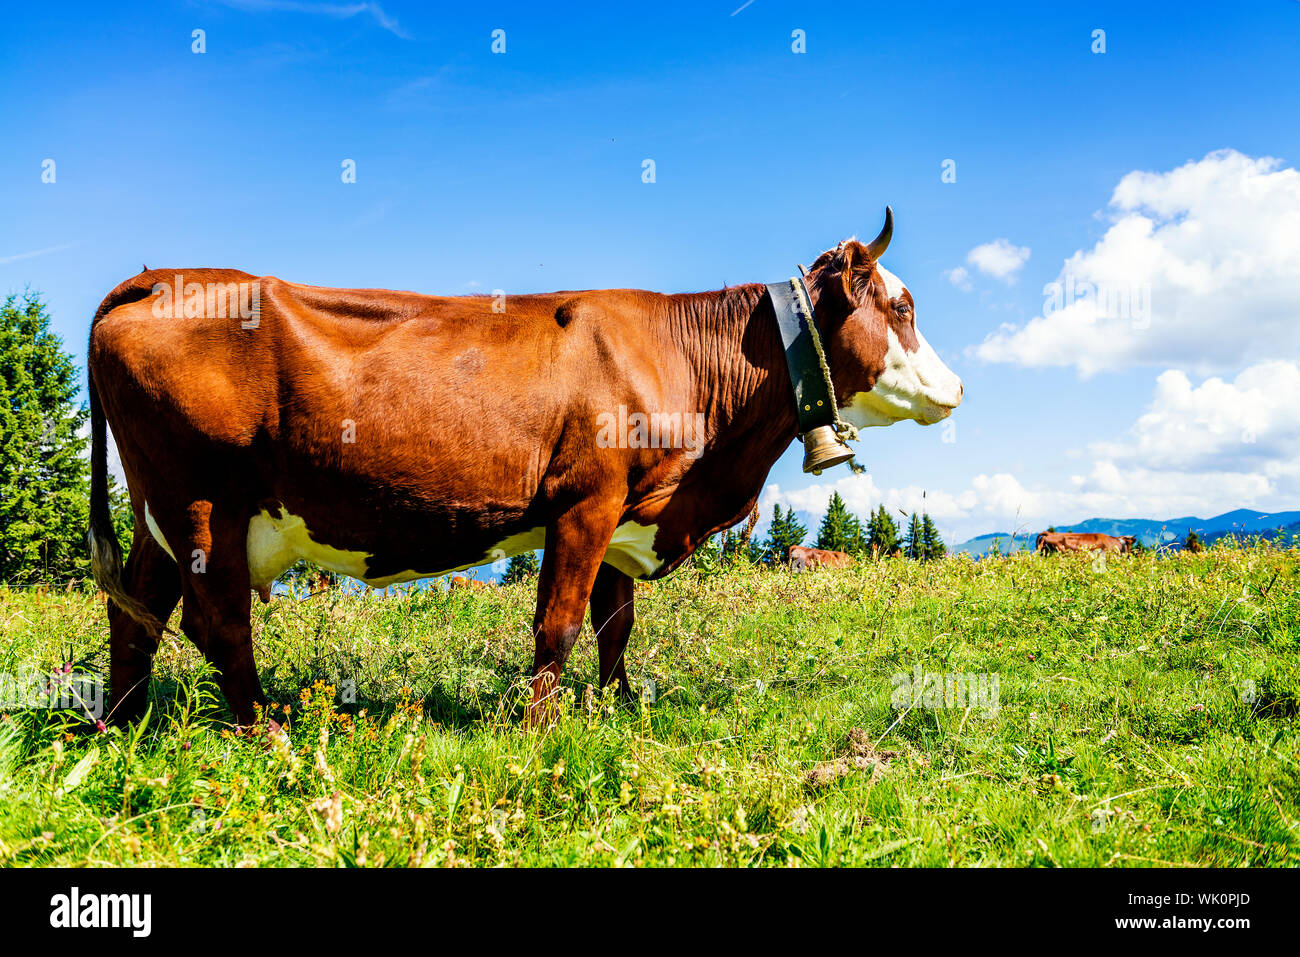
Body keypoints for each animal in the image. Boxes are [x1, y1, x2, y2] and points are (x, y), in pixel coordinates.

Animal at [86, 210, 961, 722]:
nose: (957, 386)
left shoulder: (625, 513)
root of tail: (154, 278)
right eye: (902, 305)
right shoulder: (585, 501)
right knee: (216, 623)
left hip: (162, 513)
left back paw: (124, 728)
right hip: (204, 503)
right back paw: (268, 736)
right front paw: (540, 729)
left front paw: (617, 710)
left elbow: (615, 621)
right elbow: (560, 622)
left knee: (136, 613)